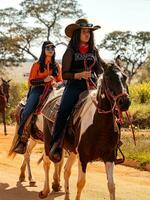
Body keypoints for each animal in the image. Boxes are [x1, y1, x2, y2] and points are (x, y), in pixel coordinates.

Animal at [39, 61, 131, 199]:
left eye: (124, 77)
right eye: (109, 77)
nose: (125, 102)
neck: (100, 125)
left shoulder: (109, 157)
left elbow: (111, 185)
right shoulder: (83, 156)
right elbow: (81, 183)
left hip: (73, 150)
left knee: (66, 170)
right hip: (48, 141)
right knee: (47, 163)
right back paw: (45, 190)